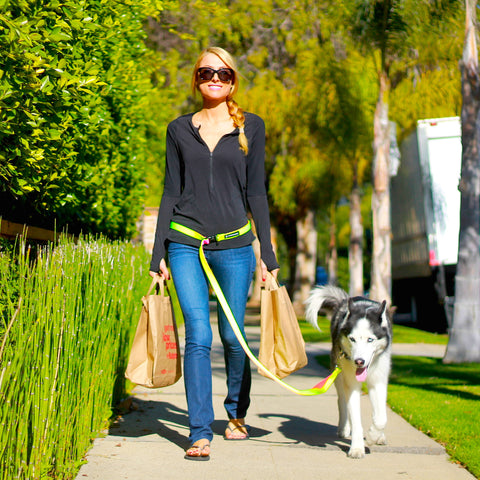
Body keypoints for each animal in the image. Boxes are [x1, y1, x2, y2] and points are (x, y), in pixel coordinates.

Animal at [306, 284, 392, 458]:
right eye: (352, 339)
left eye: (370, 339)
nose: (359, 361)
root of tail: (345, 300)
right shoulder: (351, 383)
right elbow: (356, 418)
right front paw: (357, 448)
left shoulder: (378, 381)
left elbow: (381, 417)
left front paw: (373, 436)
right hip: (338, 373)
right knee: (342, 401)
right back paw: (344, 428)